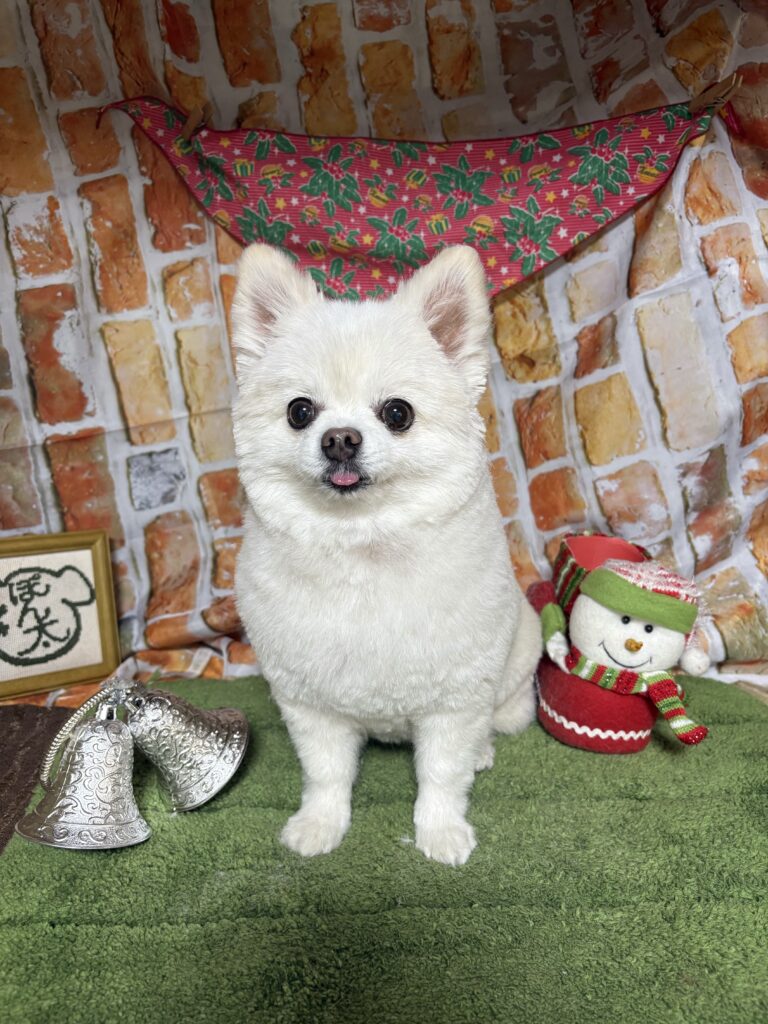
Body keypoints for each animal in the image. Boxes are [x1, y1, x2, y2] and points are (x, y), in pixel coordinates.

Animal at [231, 243, 542, 865]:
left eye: (397, 413)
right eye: (300, 411)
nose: (340, 439)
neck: (362, 545)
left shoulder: (454, 701)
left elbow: (441, 774)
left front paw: (441, 832)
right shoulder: (311, 703)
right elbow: (326, 774)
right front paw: (320, 824)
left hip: (517, 664)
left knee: (502, 716)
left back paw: (484, 749)